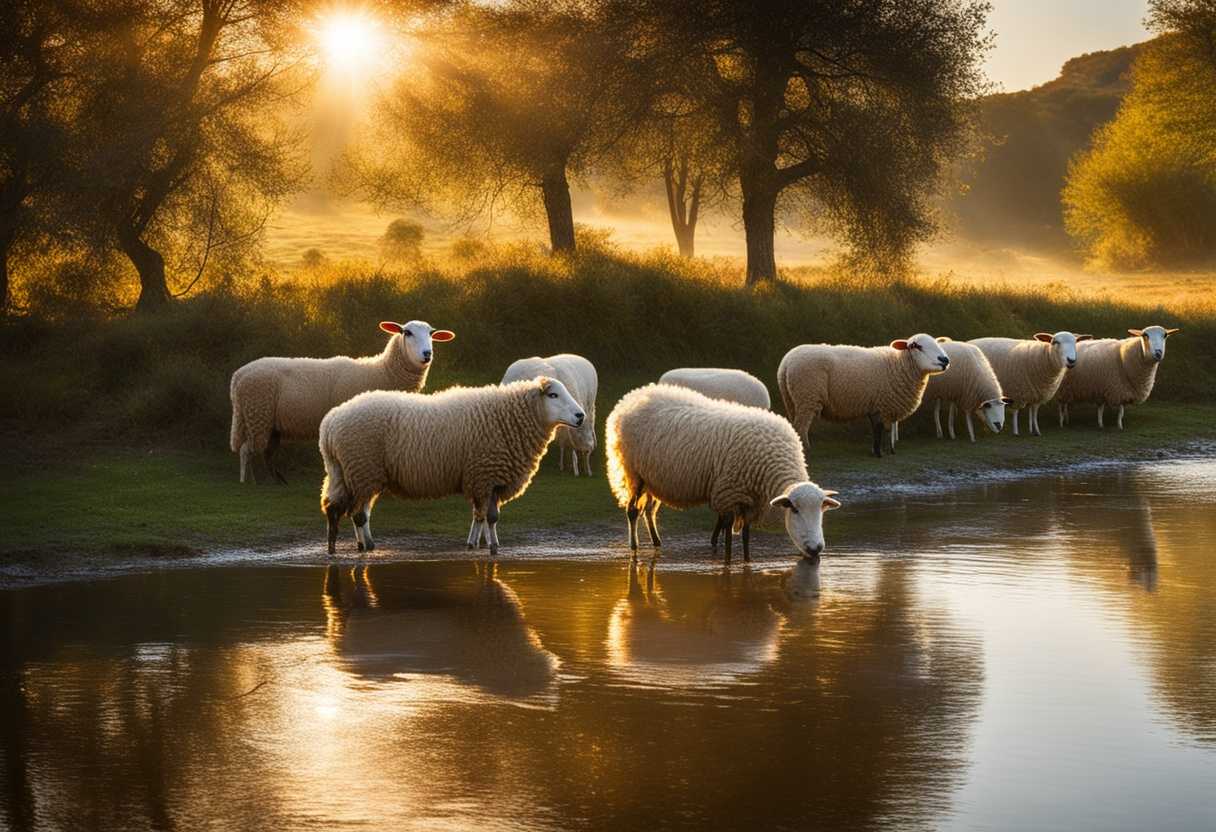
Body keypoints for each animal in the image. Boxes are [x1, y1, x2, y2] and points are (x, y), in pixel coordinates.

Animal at [229, 320, 454, 484]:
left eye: (432, 334)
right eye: (407, 333)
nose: (427, 354)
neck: (382, 372)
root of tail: (239, 375)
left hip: (268, 421)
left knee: (266, 452)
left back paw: (277, 480)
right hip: (257, 413)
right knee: (247, 450)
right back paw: (250, 481)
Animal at [319, 376, 585, 556]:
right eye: (553, 395)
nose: (581, 416)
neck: (509, 419)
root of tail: (330, 423)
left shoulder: (486, 480)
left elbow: (480, 515)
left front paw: (473, 543)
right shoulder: (485, 475)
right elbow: (490, 517)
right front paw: (493, 548)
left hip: (348, 473)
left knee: (344, 509)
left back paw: (356, 544)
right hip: (362, 470)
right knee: (355, 514)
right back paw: (355, 547)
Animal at [605, 383, 841, 563]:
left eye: (822, 511)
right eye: (795, 510)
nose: (816, 549)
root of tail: (630, 397)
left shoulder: (750, 501)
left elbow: (745, 535)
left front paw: (747, 561)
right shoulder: (730, 494)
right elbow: (727, 534)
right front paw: (727, 561)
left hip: (652, 479)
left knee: (649, 510)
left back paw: (656, 542)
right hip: (632, 471)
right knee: (632, 511)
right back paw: (634, 546)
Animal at [777, 333, 951, 458]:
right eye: (916, 346)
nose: (944, 359)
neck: (898, 364)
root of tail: (786, 363)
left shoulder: (875, 406)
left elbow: (876, 429)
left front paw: (876, 450)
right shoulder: (884, 405)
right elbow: (882, 430)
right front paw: (882, 453)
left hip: (792, 400)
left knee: (795, 426)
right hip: (807, 396)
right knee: (801, 427)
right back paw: (806, 450)